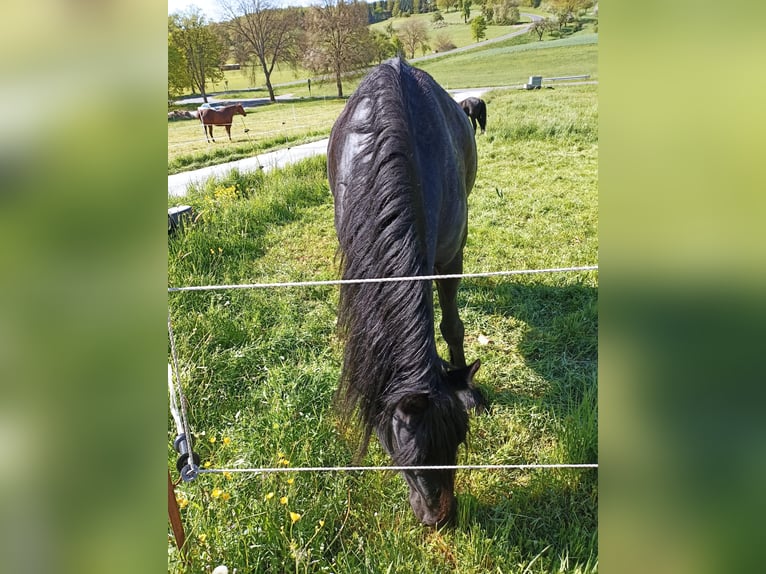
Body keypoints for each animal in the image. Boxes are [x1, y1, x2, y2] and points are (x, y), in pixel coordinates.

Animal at [327, 57, 487, 527]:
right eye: (402, 455)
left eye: (458, 442)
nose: (440, 520)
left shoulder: (452, 255)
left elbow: (452, 324)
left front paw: (470, 388)